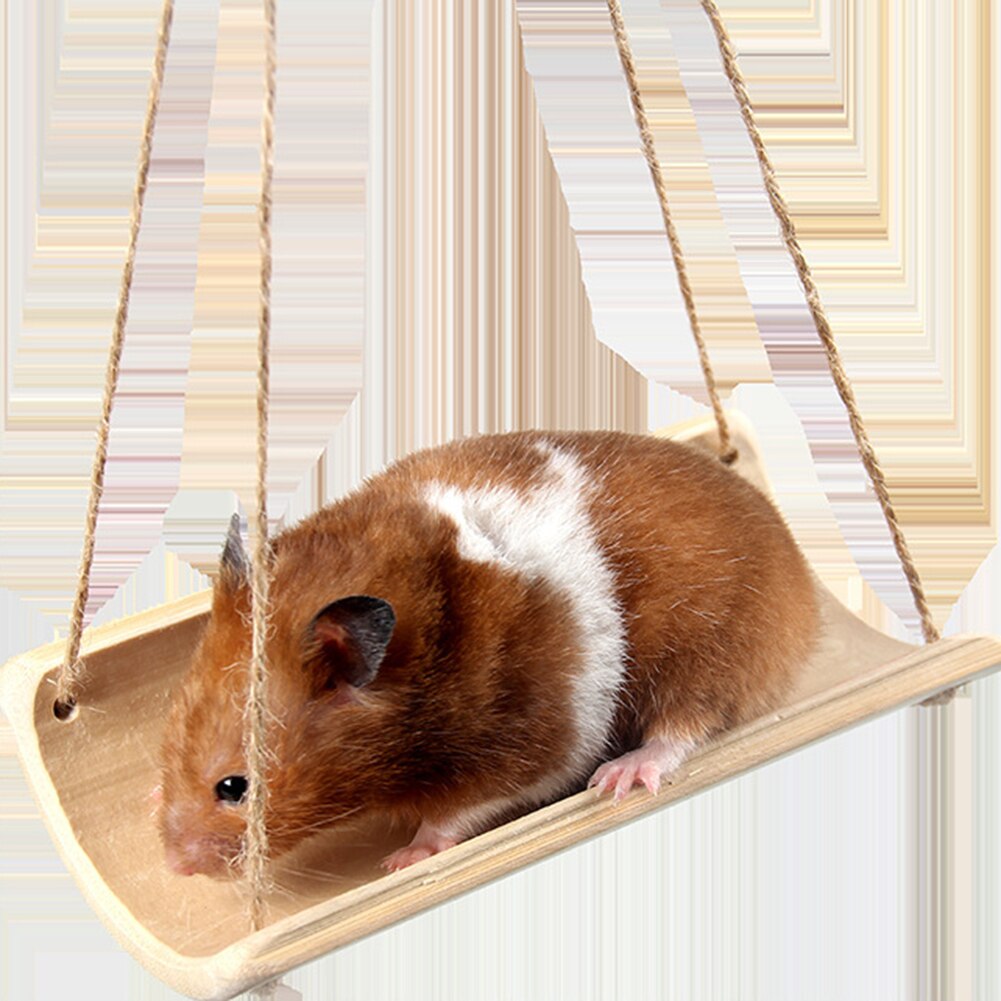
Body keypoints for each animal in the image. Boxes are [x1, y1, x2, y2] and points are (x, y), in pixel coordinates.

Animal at [157, 430, 818, 877]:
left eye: (234, 787)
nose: (176, 868)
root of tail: (799, 566)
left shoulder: (534, 746)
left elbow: (459, 811)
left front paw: (401, 860)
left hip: (709, 651)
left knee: (687, 727)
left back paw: (620, 778)